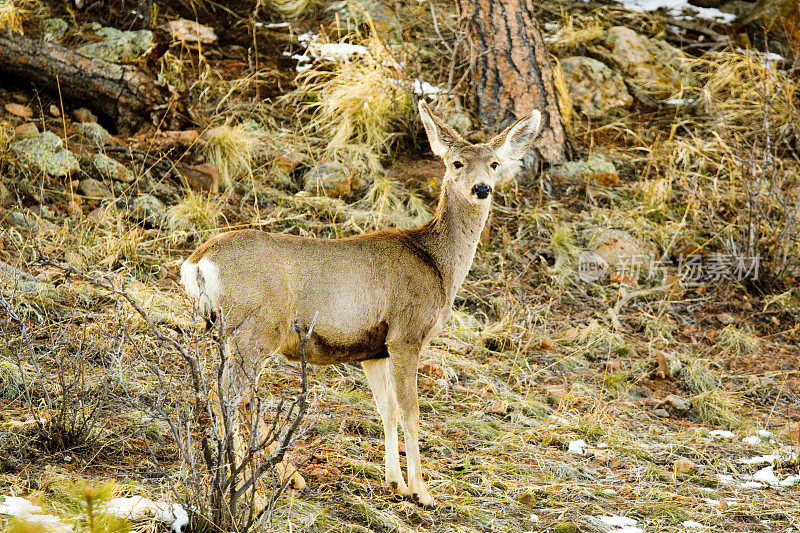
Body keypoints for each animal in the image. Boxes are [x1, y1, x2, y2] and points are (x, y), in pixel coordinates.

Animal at [181, 102, 544, 504]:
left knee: (230, 395)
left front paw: (396, 483)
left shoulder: (374, 349)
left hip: (228, 331)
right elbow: (411, 411)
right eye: (457, 162)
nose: (481, 188)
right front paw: (422, 492)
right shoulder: (406, 334)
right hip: (256, 327)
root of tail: (197, 262)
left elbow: (387, 409)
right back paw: (249, 491)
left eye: (494, 163)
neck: (438, 263)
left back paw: (267, 478)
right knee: (230, 396)